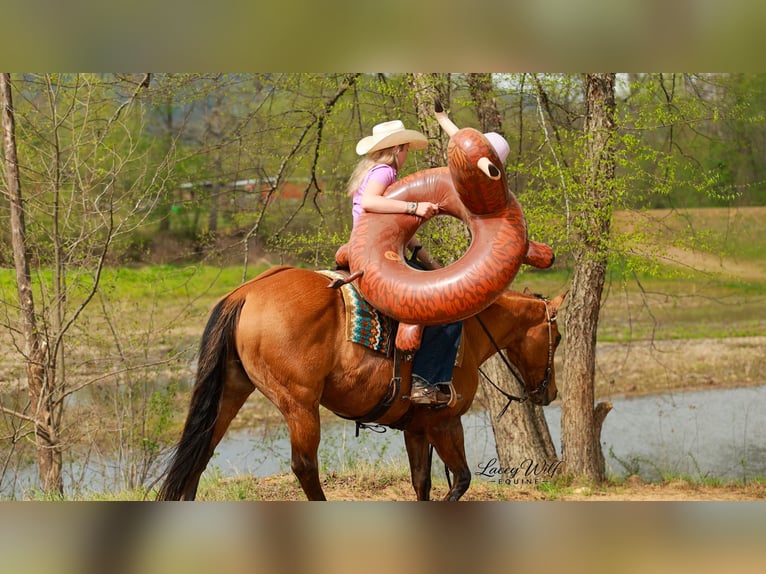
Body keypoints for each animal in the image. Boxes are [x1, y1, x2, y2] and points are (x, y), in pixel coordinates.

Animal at [157, 266, 565, 501]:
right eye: (558, 338)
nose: (550, 392)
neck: (469, 330)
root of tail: (245, 293)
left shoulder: (416, 428)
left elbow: (422, 483)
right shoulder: (445, 423)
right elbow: (461, 480)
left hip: (232, 391)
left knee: (199, 455)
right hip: (299, 403)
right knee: (305, 466)